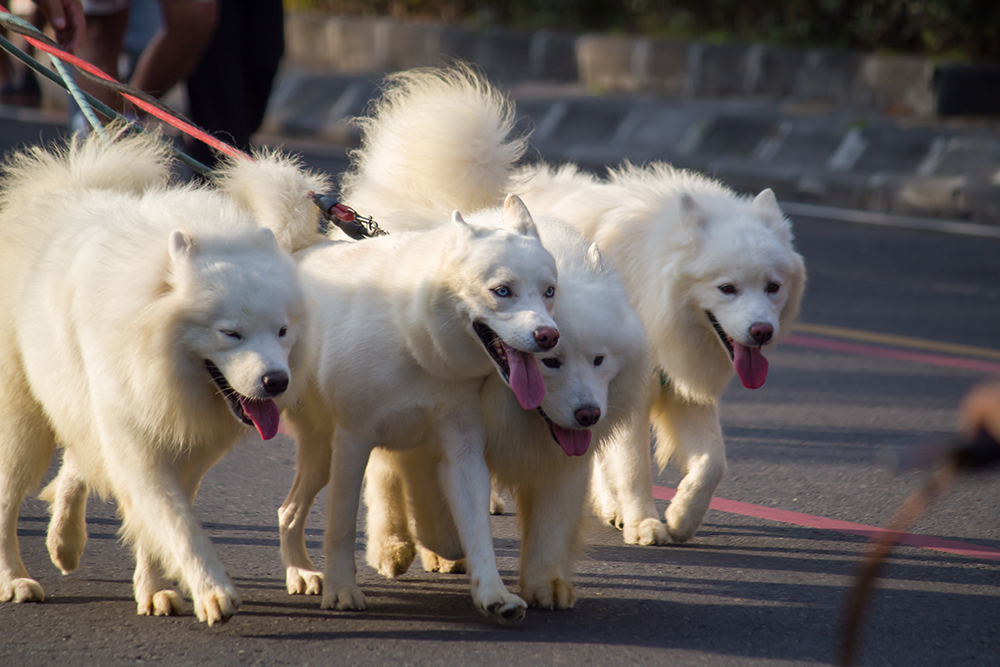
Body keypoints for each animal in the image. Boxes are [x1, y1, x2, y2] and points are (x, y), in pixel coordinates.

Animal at [0, 126, 324, 628]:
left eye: (283, 331)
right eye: (230, 333)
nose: (276, 382)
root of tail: (58, 192)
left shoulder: (182, 445)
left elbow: (159, 524)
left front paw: (154, 590)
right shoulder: (138, 441)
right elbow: (176, 523)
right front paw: (212, 591)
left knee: (77, 463)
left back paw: (66, 543)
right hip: (24, 423)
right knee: (9, 500)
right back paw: (15, 579)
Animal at [516, 163, 804, 548]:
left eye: (773, 287)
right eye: (727, 288)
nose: (762, 331)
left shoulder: (683, 392)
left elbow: (713, 464)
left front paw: (682, 518)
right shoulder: (633, 398)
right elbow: (634, 468)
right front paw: (645, 524)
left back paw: (612, 509)